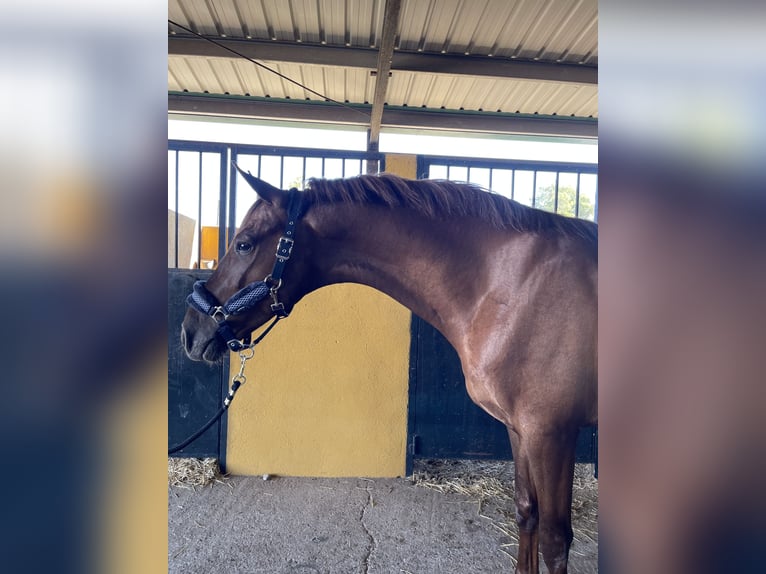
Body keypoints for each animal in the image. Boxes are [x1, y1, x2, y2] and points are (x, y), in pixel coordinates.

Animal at [182, 172, 600, 574]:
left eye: (244, 244)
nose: (190, 333)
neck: (509, 287)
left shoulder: (551, 433)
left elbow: (554, 542)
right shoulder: (519, 430)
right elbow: (527, 512)